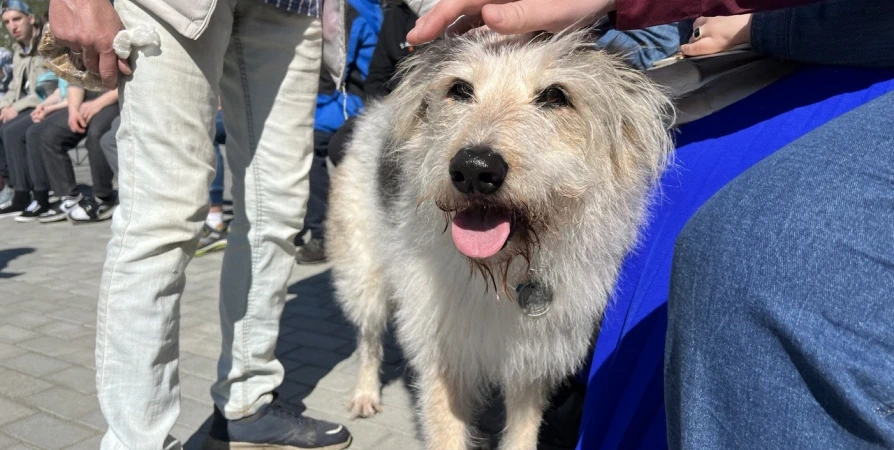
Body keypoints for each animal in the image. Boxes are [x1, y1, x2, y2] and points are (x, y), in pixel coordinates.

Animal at [328, 29, 672, 448]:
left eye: (556, 96)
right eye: (459, 89)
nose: (474, 169)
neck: (504, 273)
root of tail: (371, 115)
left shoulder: (534, 361)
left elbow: (522, 431)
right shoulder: (445, 355)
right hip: (364, 273)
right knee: (368, 337)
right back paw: (364, 393)